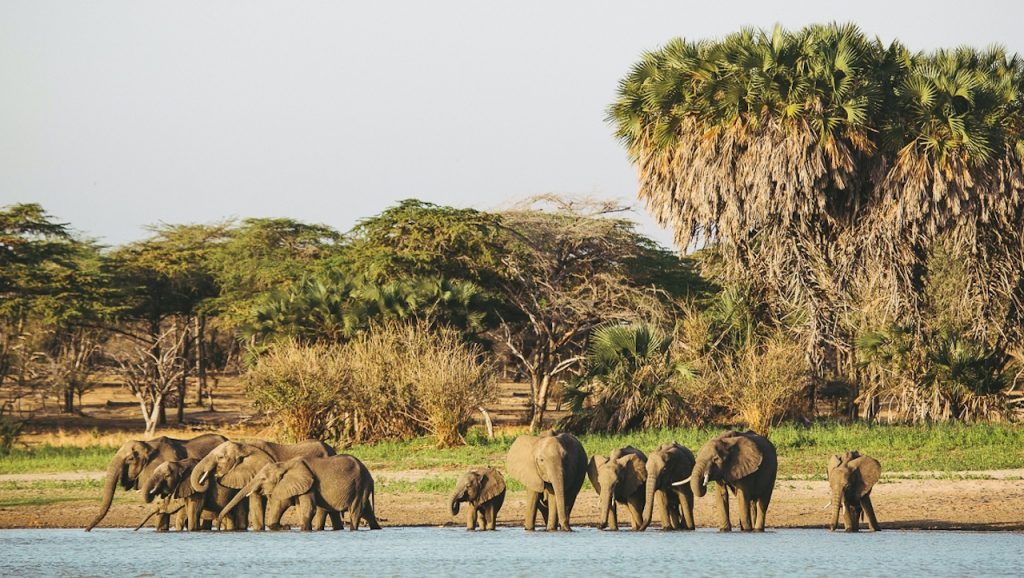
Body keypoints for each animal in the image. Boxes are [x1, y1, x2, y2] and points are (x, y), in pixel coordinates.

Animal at [216, 457, 380, 532]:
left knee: (356, 511)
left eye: (263, 479)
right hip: (361, 486)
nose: (217, 526)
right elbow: (293, 506)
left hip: (360, 484)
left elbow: (307, 508)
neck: (285, 464)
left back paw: (354, 529)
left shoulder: (309, 484)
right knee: (367, 511)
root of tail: (370, 476)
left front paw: (302, 530)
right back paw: (376, 529)